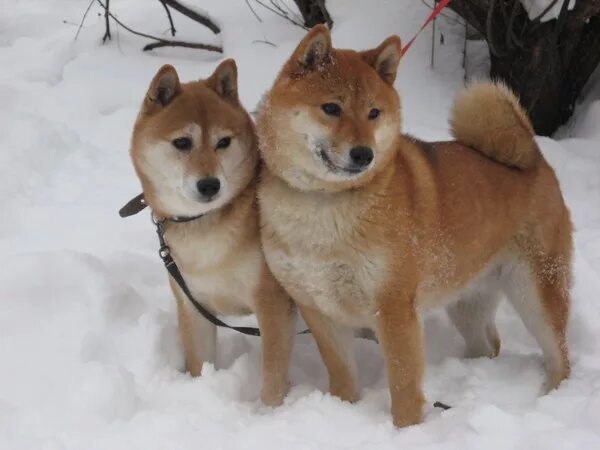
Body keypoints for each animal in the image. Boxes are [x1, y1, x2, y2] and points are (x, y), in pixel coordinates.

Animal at [130, 59, 294, 404]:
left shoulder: (272, 304)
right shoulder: (193, 307)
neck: (205, 228)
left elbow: (273, 377)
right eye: (182, 142)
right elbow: (199, 364)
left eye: (223, 142)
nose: (209, 185)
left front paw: (270, 412)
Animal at [256, 26, 572, 428]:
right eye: (331, 108)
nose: (364, 154)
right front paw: (341, 410)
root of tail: (534, 157)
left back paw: (553, 397)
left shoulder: (393, 307)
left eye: (374, 113)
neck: (323, 205)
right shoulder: (318, 307)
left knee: (560, 355)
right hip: (468, 301)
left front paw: (406, 430)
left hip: (535, 291)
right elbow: (342, 374)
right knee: (489, 343)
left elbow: (404, 384)